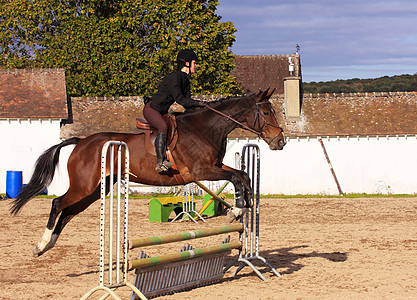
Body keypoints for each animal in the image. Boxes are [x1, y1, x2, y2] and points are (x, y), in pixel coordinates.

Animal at [9, 88, 284, 256]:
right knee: (57, 204)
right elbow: (235, 177)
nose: (280, 141)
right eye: (267, 112)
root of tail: (80, 142)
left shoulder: (214, 166)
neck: (206, 128)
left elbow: (242, 176)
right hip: (83, 186)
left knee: (67, 212)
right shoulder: (199, 171)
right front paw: (236, 210)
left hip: (96, 190)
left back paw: (48, 244)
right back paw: (41, 244)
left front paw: (243, 207)